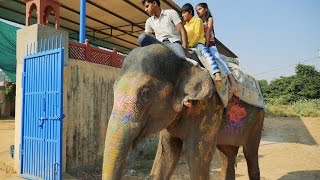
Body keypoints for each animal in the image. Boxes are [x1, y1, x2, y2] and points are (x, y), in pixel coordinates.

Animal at [102, 43, 264, 180]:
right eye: (113, 89)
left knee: (250, 154)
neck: (182, 61)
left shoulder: (209, 105)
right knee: (227, 156)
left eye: (145, 93)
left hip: (257, 120)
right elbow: (167, 153)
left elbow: (196, 155)